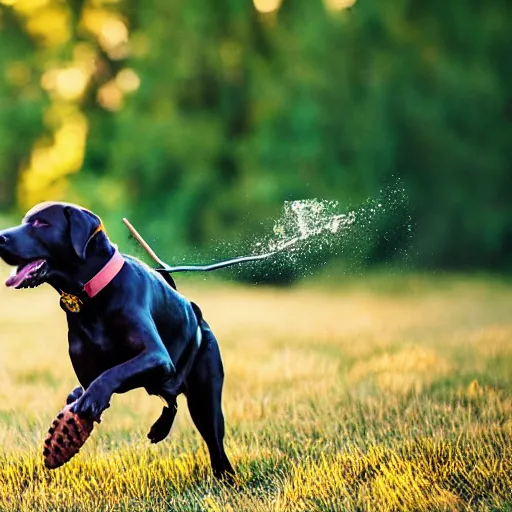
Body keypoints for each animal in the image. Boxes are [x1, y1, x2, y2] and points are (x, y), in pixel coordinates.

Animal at [0, 201, 234, 480]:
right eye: (25, 221)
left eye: (41, 223)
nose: (0, 237)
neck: (91, 295)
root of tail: (199, 317)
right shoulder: (87, 368)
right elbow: (90, 382)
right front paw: (79, 401)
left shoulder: (156, 357)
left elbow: (114, 373)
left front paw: (92, 399)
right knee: (170, 399)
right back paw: (161, 428)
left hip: (204, 401)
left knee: (214, 443)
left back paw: (225, 477)